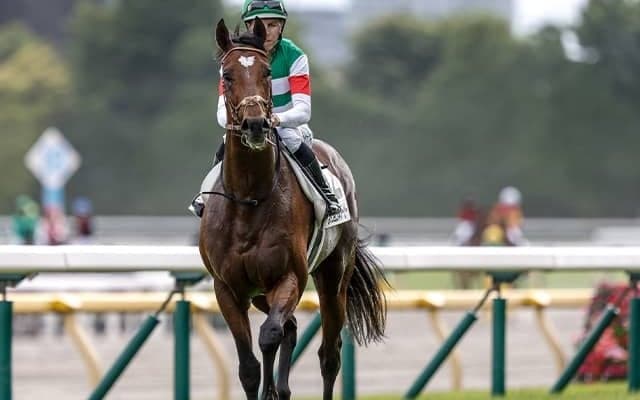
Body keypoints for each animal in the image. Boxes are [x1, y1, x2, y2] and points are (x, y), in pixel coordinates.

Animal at [198, 19, 388, 400]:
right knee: (293, 327)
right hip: (261, 292)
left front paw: (272, 388)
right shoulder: (227, 289)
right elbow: (249, 367)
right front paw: (269, 387)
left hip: (333, 278)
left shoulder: (288, 277)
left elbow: (269, 335)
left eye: (268, 72)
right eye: (227, 75)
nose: (256, 124)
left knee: (328, 354)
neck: (250, 198)